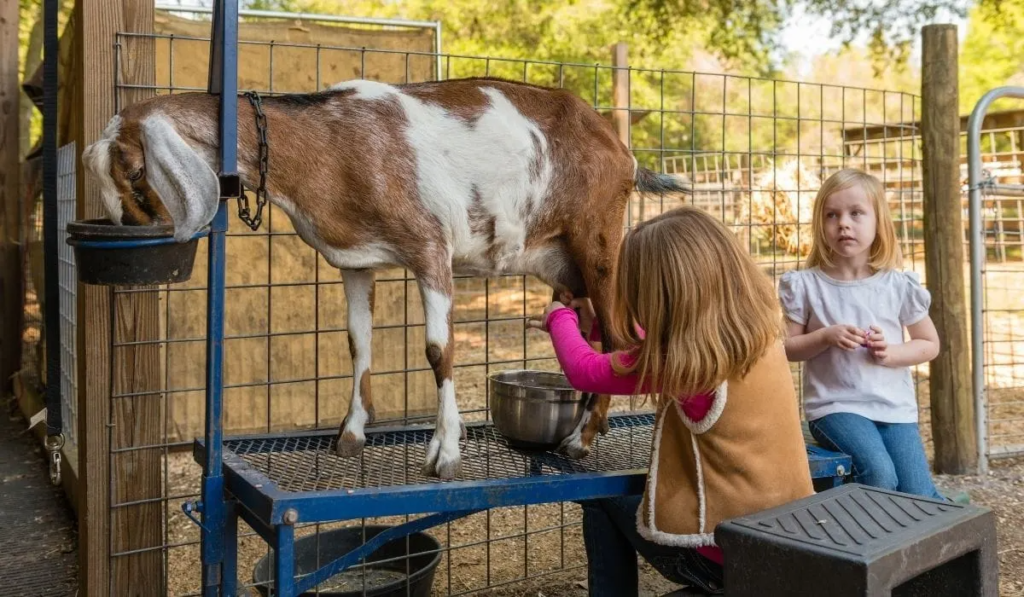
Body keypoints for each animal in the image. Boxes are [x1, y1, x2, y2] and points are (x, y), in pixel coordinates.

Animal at [79, 78, 688, 481]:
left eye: (137, 170)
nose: (134, 235)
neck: (333, 146)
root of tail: (622, 149)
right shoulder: (355, 262)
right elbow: (358, 342)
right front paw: (350, 434)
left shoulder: (430, 247)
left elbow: (439, 350)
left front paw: (444, 454)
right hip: (565, 263)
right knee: (592, 337)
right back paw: (583, 428)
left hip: (599, 241)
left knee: (619, 340)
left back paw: (583, 441)